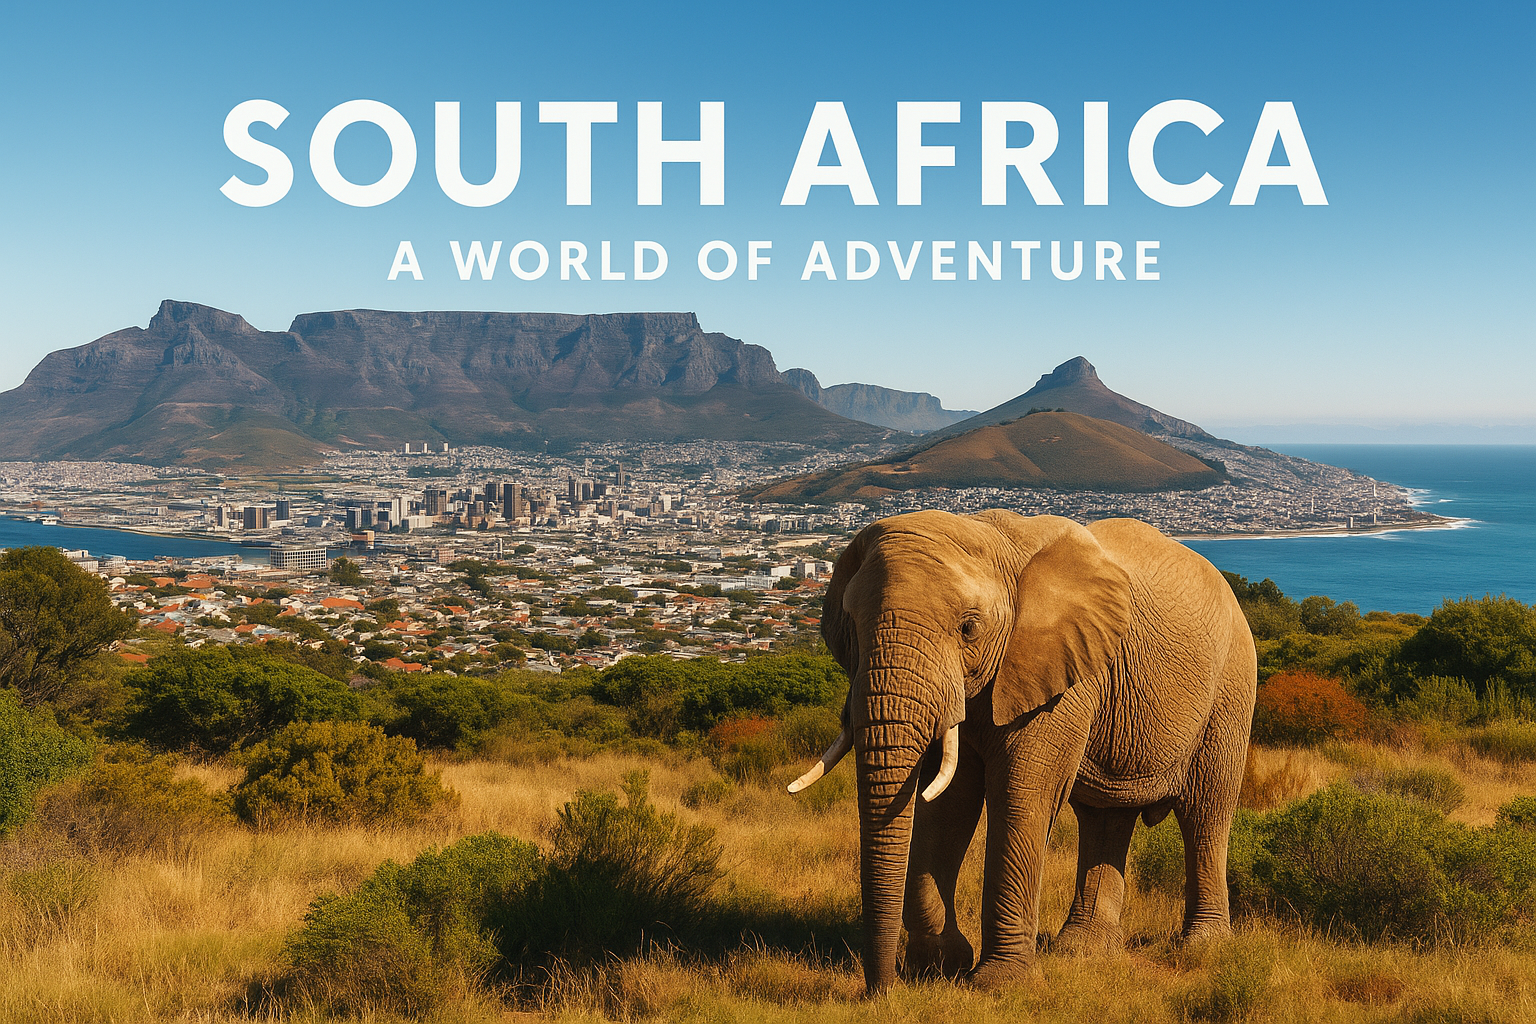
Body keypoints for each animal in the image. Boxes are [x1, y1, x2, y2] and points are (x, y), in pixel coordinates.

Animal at [787, 510, 1256, 993]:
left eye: (969, 628)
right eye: (850, 625)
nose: (881, 991)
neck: (989, 537)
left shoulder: (1059, 675)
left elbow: (1020, 797)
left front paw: (994, 983)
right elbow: (948, 804)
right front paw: (938, 967)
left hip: (1231, 687)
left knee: (1205, 814)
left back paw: (1202, 947)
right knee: (1105, 819)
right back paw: (1082, 951)